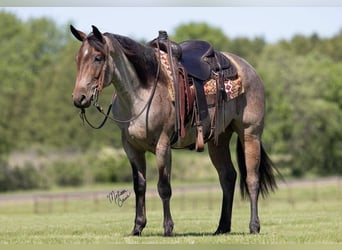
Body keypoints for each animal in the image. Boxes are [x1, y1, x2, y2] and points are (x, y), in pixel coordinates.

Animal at [69, 25, 278, 236]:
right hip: (218, 139)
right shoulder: (131, 147)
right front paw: (137, 227)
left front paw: (168, 228)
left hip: (250, 134)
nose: (79, 98)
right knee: (228, 177)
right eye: (77, 59)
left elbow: (164, 186)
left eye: (98, 57)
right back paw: (222, 227)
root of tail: (247, 68)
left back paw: (254, 226)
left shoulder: (163, 145)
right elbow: (139, 186)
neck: (141, 94)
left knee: (252, 179)